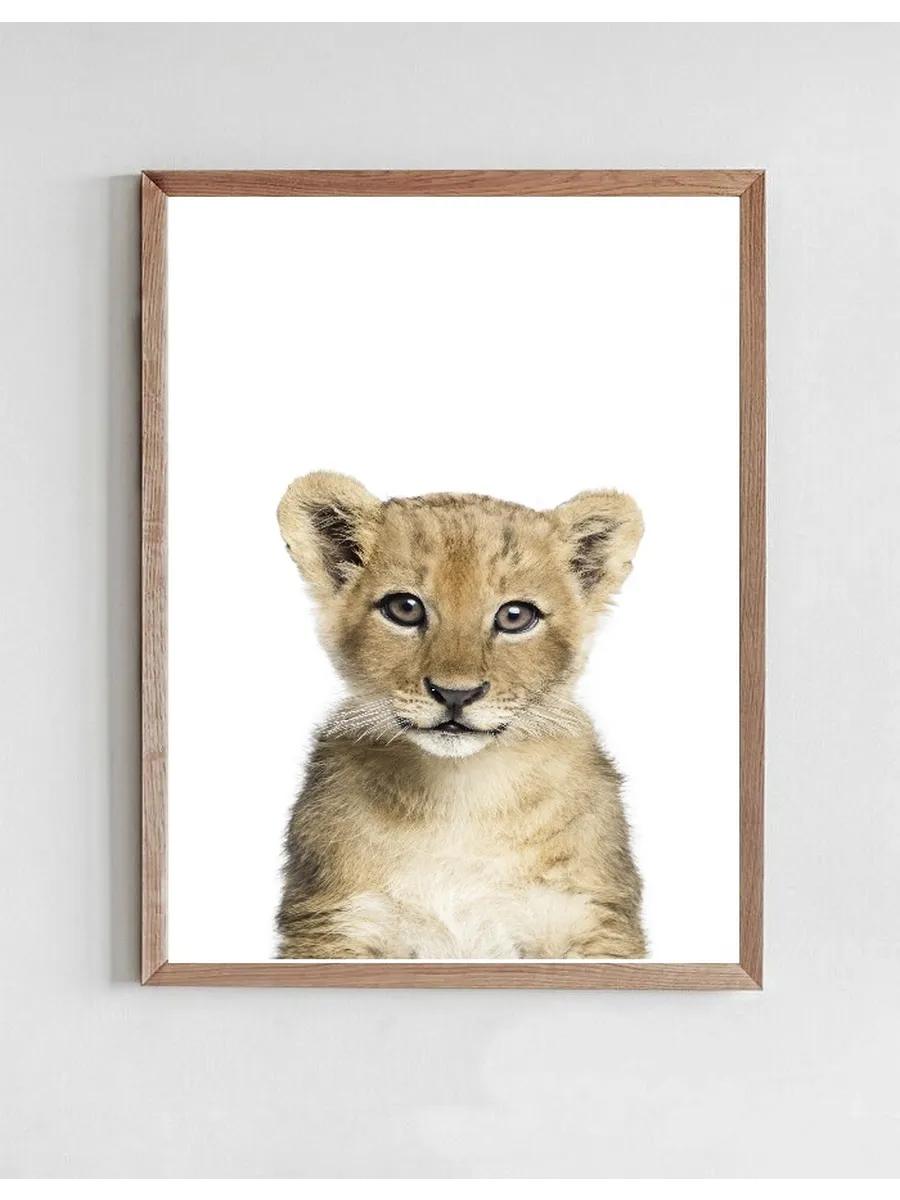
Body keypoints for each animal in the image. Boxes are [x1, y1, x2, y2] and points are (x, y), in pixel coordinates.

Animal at [275, 472, 646, 960]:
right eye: (405, 608)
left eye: (515, 616)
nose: (456, 694)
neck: (461, 794)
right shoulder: (335, 922)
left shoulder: (591, 919)